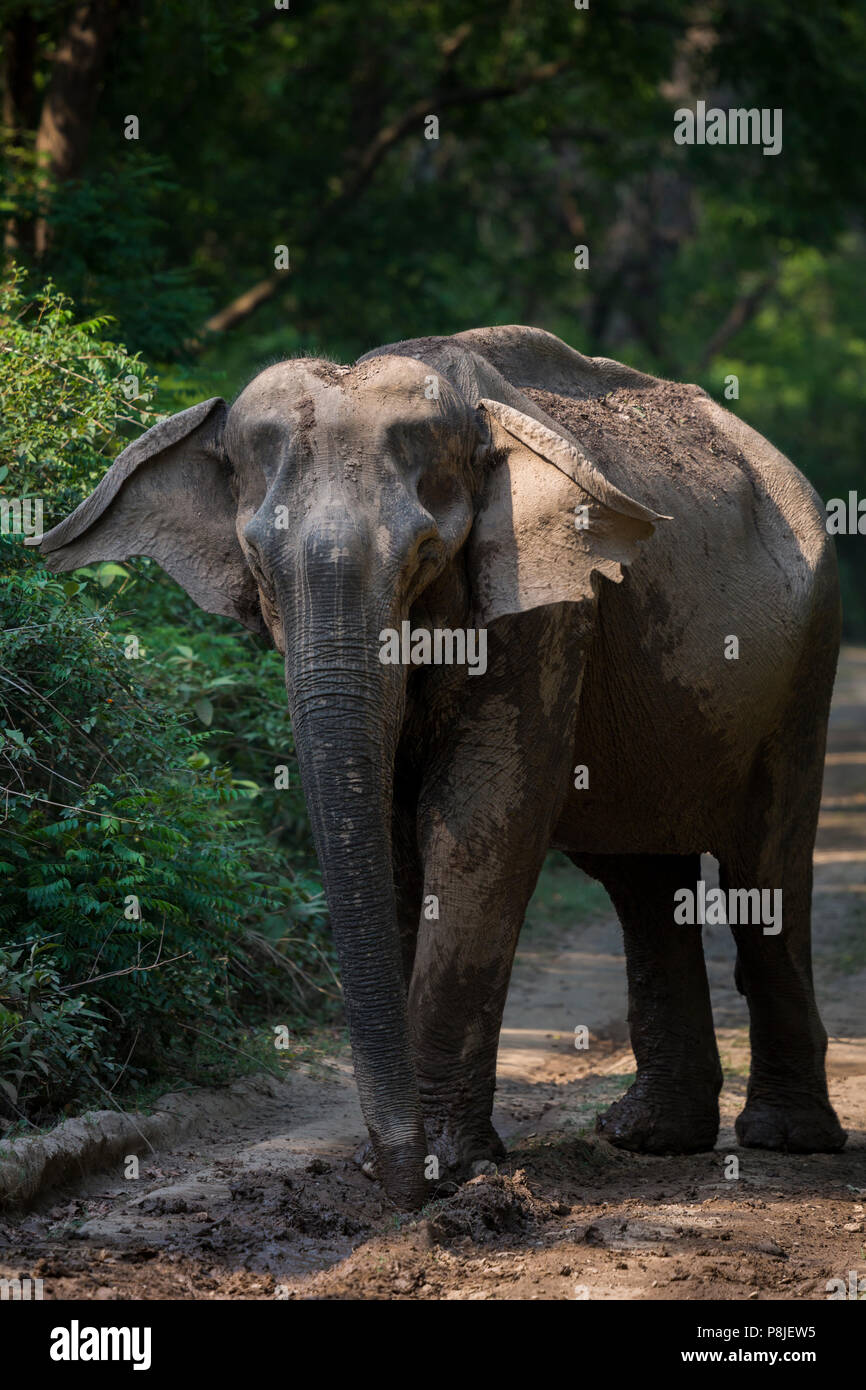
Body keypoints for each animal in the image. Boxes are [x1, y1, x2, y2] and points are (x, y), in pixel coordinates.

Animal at [35, 325, 845, 1206]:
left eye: (426, 553)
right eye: (255, 562)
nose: (395, 1180)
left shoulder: (544, 603)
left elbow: (481, 821)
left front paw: (444, 1169)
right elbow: (389, 834)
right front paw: (404, 1165)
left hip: (807, 657)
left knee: (766, 866)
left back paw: (786, 1139)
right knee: (640, 880)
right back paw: (652, 1138)